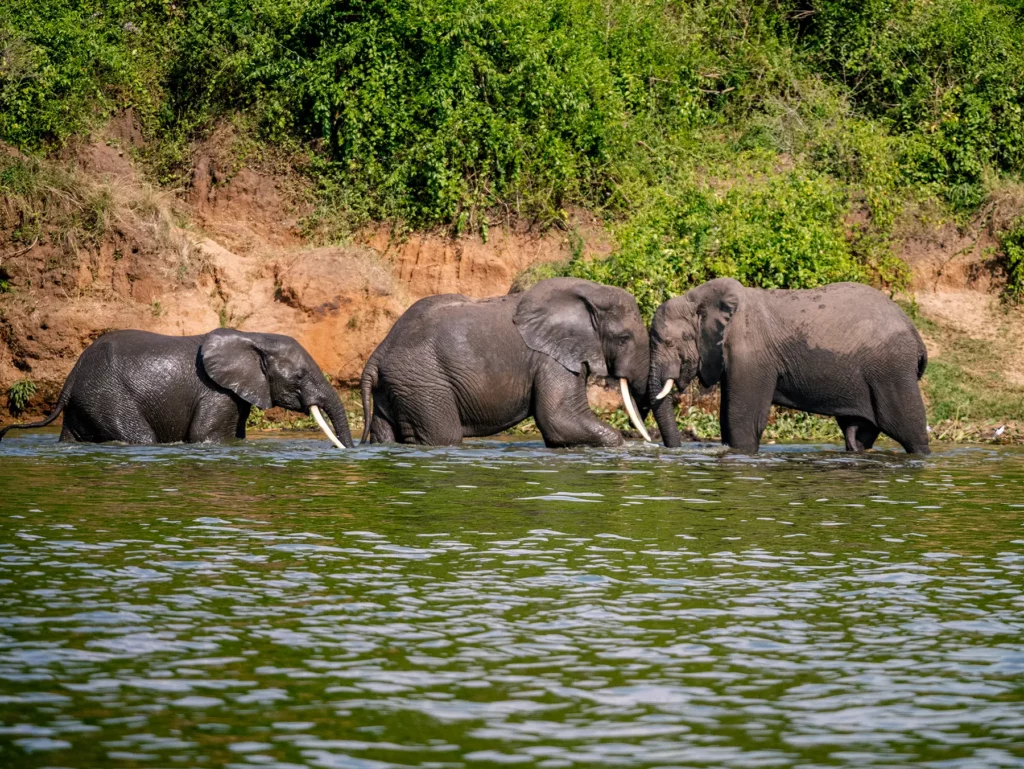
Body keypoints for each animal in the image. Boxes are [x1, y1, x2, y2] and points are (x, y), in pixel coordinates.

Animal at [0, 328, 352, 446]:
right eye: (299, 377)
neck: (254, 335)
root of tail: (70, 378)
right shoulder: (217, 394)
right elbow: (204, 436)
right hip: (108, 397)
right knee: (139, 437)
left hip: (85, 404)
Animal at [360, 277, 653, 447]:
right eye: (624, 338)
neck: (589, 292)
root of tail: (379, 353)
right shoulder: (550, 359)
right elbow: (560, 419)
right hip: (423, 384)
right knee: (442, 436)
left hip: (396, 387)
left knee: (384, 433)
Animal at [647, 278, 930, 454]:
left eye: (669, 342)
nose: (676, 447)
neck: (696, 298)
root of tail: (917, 336)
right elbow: (728, 419)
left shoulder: (751, 352)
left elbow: (741, 420)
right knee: (857, 434)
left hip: (892, 370)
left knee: (909, 430)